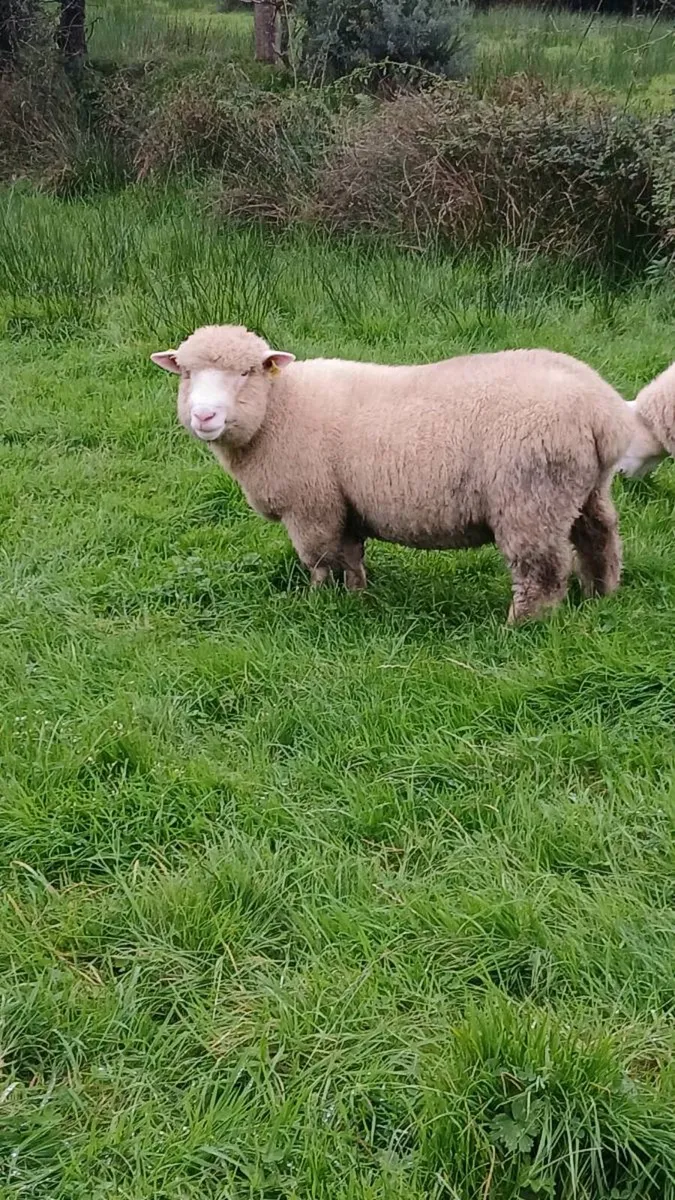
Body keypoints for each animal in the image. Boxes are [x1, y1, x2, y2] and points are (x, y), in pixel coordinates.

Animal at [151, 324, 635, 622]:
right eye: (187, 373)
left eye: (247, 371)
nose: (204, 415)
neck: (278, 409)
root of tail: (604, 412)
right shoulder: (345, 504)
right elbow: (350, 555)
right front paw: (357, 598)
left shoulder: (311, 507)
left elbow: (320, 561)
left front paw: (318, 603)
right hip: (585, 488)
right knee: (600, 538)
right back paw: (601, 597)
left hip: (530, 496)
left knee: (542, 570)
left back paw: (520, 626)